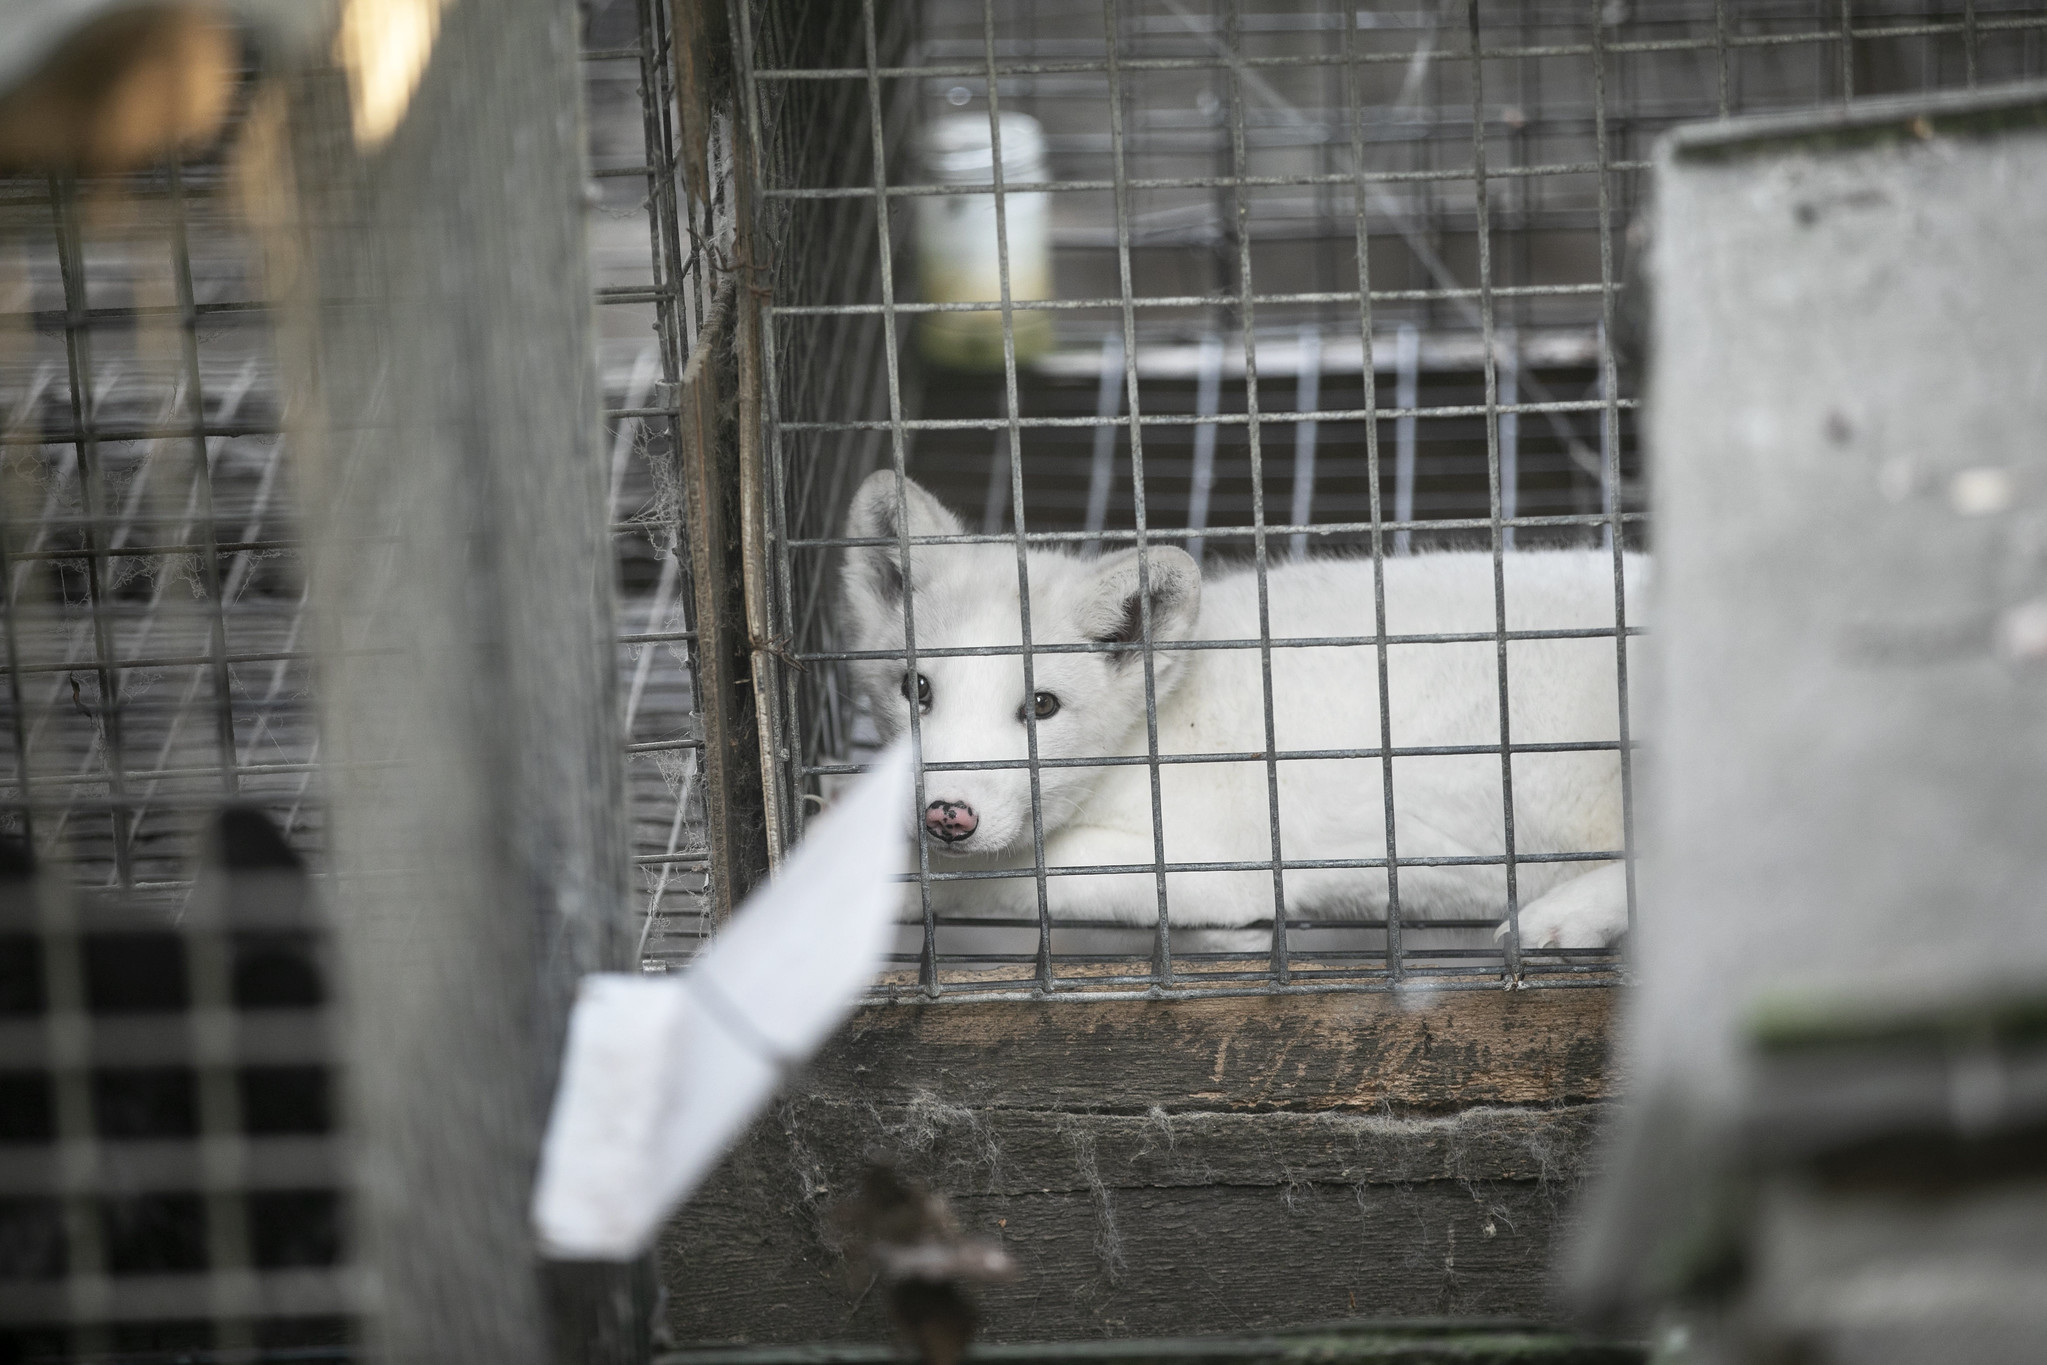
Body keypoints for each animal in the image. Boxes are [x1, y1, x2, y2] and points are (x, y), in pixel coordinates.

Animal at [839, 474, 1637, 957]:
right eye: (915, 688)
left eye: (1041, 705)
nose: (948, 813)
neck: (1155, 730)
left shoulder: (1209, 869)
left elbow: (993, 877)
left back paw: (1558, 918)